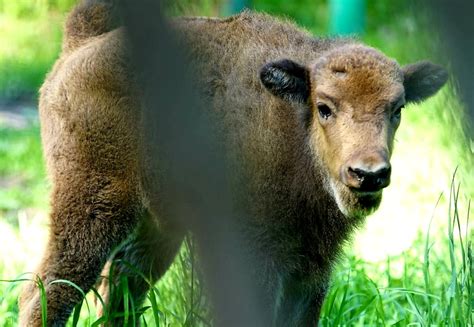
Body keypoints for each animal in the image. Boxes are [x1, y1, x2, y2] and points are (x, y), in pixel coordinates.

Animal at [19, 1, 448, 326]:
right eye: (324, 107)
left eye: (397, 109)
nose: (368, 174)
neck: (294, 126)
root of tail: (81, 45)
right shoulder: (258, 257)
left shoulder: (312, 267)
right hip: (91, 205)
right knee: (49, 292)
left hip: (157, 227)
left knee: (120, 289)